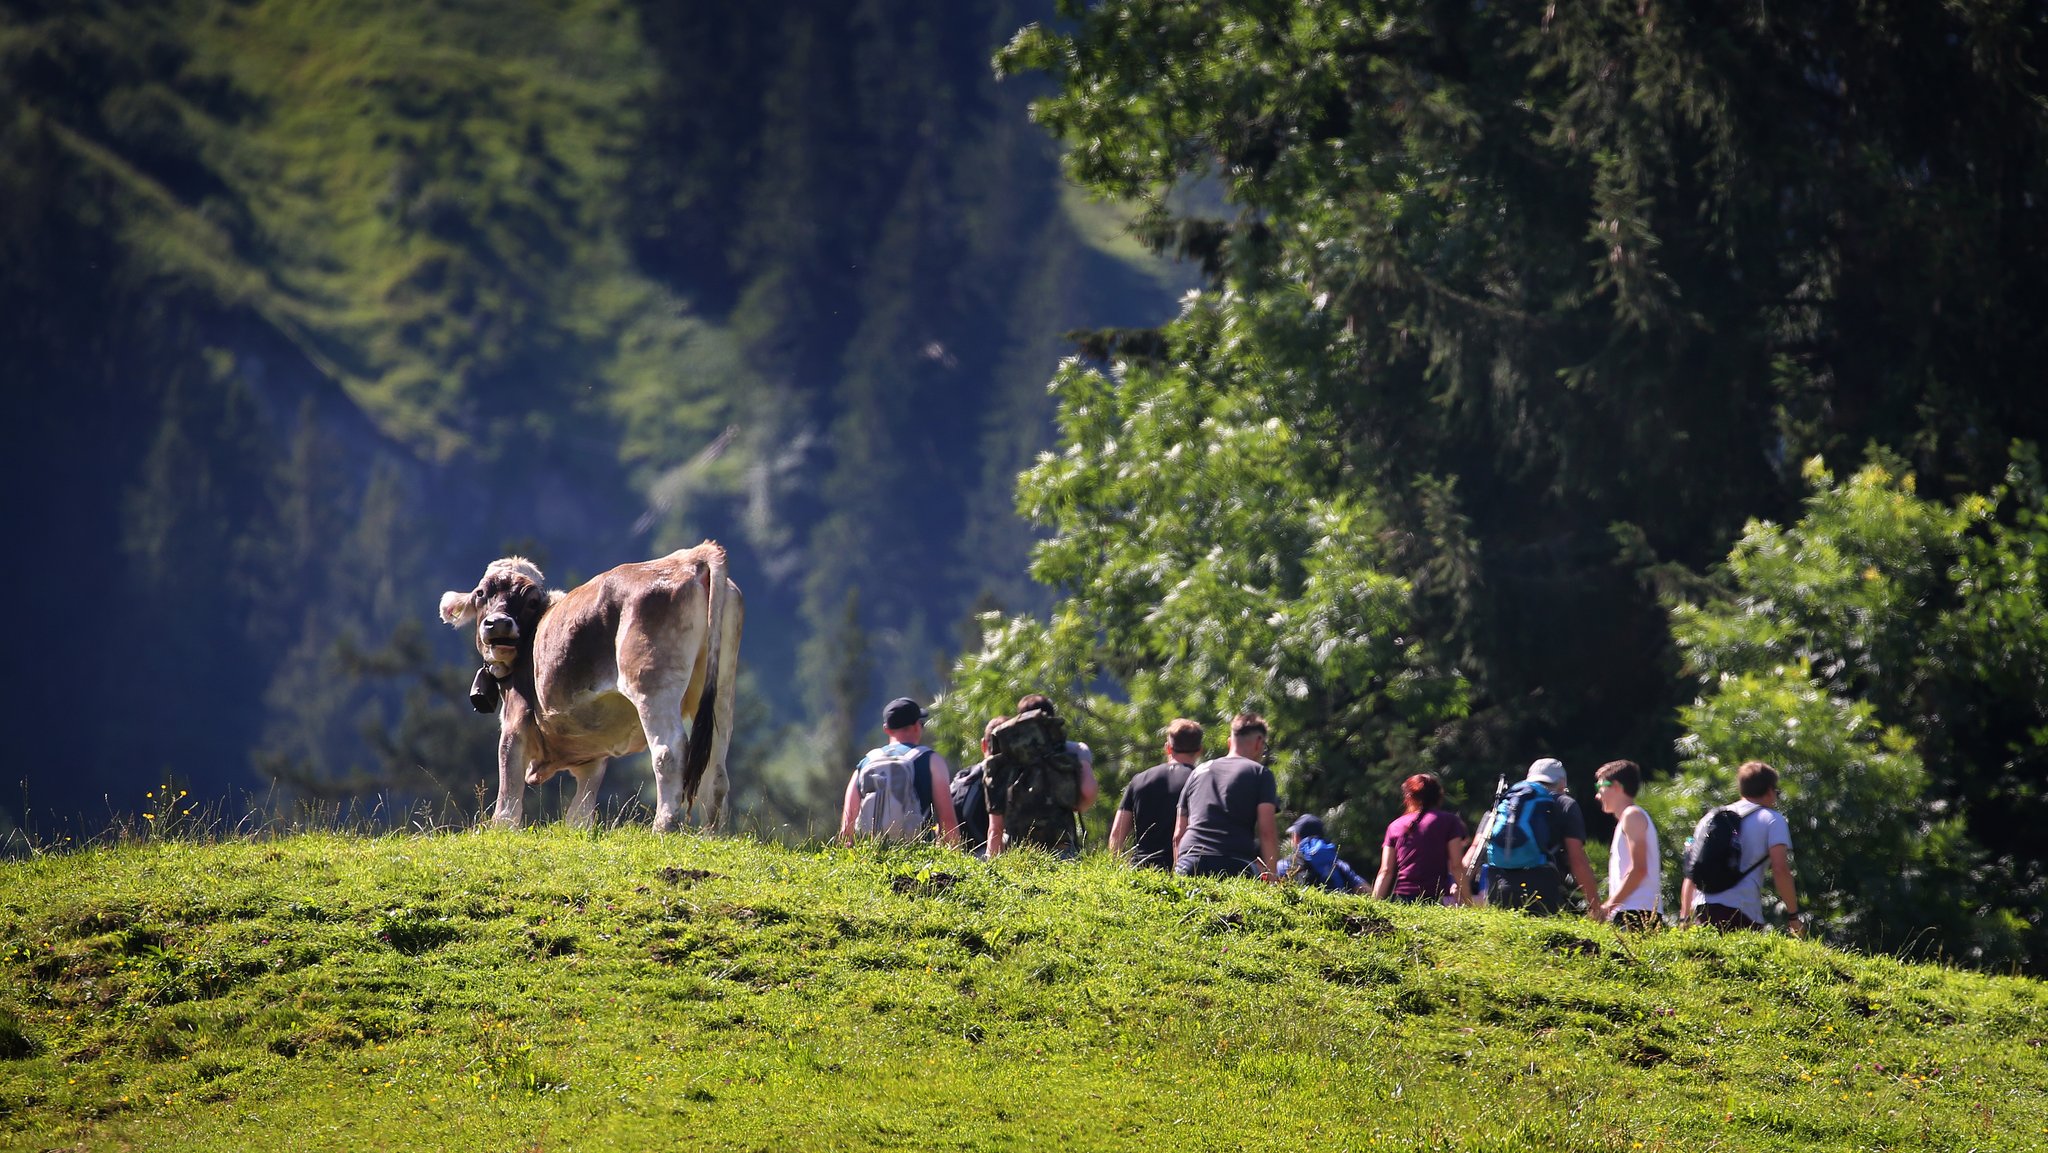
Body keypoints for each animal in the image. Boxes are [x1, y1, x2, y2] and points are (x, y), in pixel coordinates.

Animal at [436, 540, 741, 831]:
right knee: (716, 769)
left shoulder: (516, 722)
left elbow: (508, 797)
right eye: (481, 593)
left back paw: (662, 827)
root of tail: (689, 558)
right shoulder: (592, 757)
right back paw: (711, 834)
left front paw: (501, 829)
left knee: (669, 752)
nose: (498, 623)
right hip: (721, 690)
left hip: (652, 684)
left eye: (531, 600)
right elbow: (580, 813)